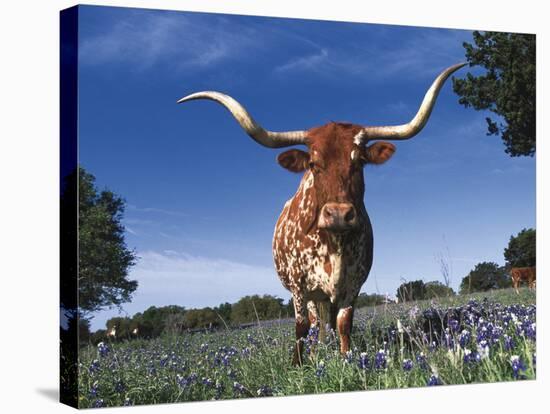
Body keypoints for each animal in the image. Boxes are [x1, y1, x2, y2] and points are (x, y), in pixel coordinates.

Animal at [179, 62, 468, 366]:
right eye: (314, 164)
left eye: (359, 161)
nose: (339, 214)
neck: (334, 244)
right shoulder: (299, 286)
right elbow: (301, 326)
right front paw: (298, 364)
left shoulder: (353, 284)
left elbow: (343, 323)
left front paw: (346, 358)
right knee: (315, 323)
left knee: (325, 323)